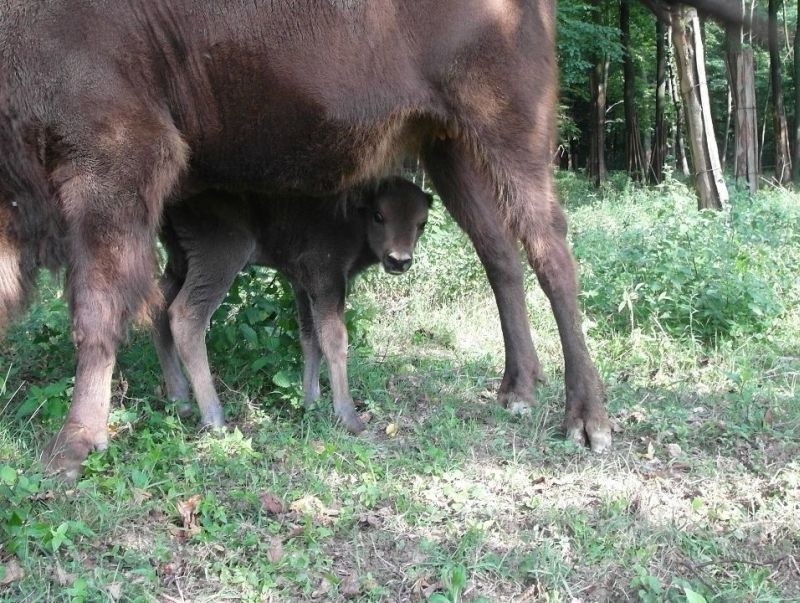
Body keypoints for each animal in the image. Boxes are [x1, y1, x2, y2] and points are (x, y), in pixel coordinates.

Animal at [154, 177, 434, 436]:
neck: (355, 215)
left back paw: (180, 402)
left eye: (422, 223)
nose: (398, 260)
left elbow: (311, 339)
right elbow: (335, 340)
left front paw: (311, 403)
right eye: (379, 215)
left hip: (180, 261)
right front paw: (348, 417)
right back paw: (215, 419)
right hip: (220, 258)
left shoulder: (302, 285)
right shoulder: (326, 279)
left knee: (159, 306)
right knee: (186, 317)